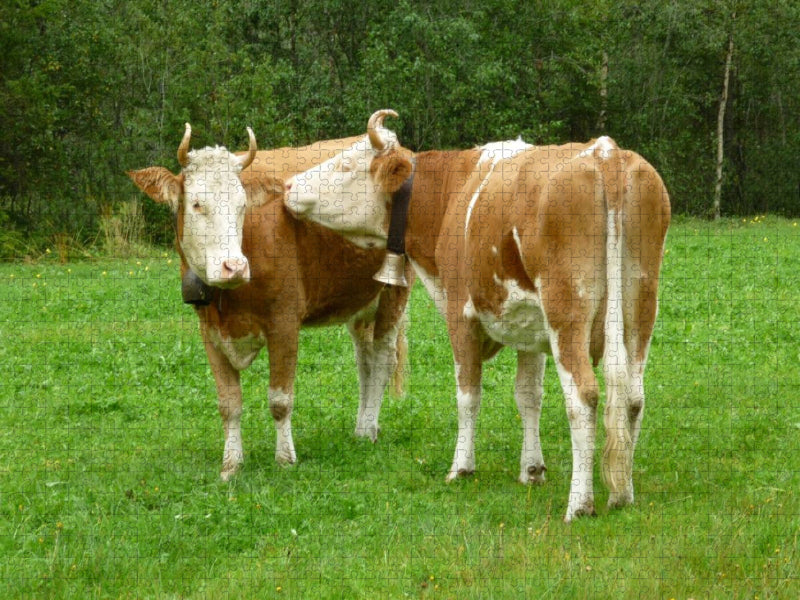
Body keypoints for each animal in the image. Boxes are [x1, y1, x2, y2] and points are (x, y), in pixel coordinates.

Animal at [127, 124, 413, 481]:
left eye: (242, 206)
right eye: (196, 204)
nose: (234, 266)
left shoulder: (284, 323)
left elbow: (280, 399)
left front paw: (285, 458)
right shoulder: (209, 331)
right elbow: (229, 403)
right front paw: (231, 464)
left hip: (393, 291)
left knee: (384, 358)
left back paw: (370, 428)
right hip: (358, 300)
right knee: (366, 361)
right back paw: (361, 427)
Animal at [285, 109, 671, 521]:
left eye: (344, 165)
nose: (289, 185)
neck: (450, 196)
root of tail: (605, 153)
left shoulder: (461, 314)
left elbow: (468, 394)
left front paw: (461, 467)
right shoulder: (529, 328)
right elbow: (528, 395)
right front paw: (532, 469)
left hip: (567, 314)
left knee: (583, 397)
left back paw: (580, 503)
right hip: (640, 309)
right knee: (633, 397)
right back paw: (622, 493)